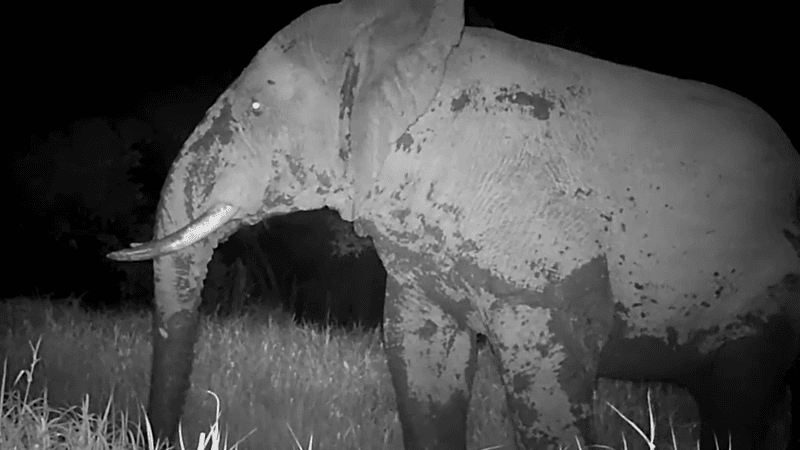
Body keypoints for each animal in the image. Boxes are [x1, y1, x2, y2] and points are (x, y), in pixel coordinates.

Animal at [107, 0, 800, 448]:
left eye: (255, 107)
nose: (154, 439)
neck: (404, 40)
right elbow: (420, 368)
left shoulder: (546, 256)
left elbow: (549, 385)